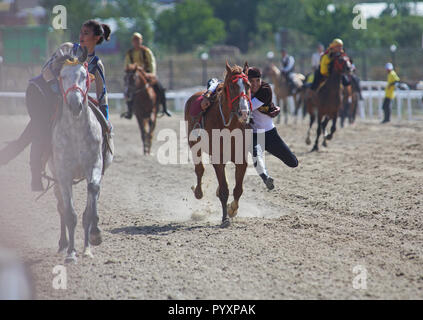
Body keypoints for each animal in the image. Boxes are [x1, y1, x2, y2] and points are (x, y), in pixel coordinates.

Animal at [50, 51, 113, 264]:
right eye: (62, 76)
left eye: (85, 76)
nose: (75, 104)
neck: (76, 132)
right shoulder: (63, 173)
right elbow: (69, 213)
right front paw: (71, 252)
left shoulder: (94, 165)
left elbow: (91, 201)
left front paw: (90, 243)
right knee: (60, 206)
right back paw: (63, 244)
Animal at [185, 62, 252, 228]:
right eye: (232, 86)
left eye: (248, 85)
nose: (244, 112)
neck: (230, 126)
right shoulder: (218, 159)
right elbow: (224, 190)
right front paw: (225, 218)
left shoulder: (241, 160)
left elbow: (238, 189)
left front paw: (232, 209)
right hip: (194, 145)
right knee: (199, 170)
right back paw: (198, 192)